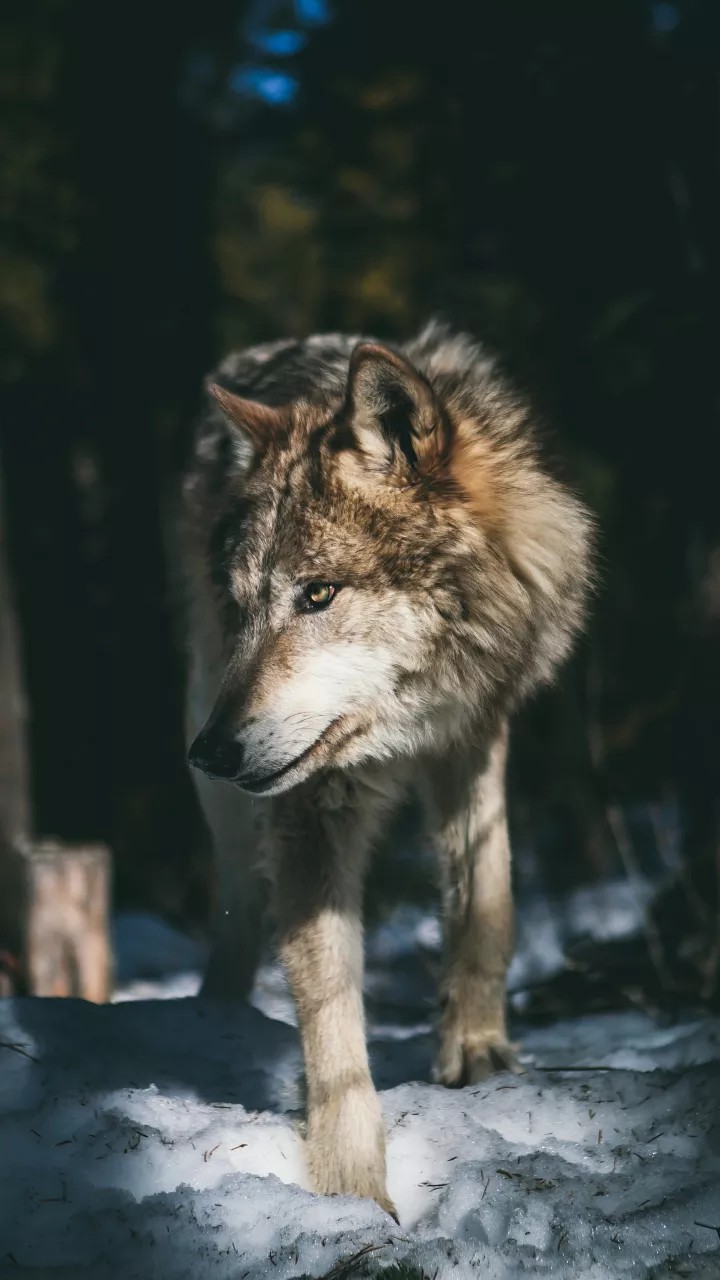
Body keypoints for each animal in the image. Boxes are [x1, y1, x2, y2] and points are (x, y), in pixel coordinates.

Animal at [178, 321, 593, 1218]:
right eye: (245, 607)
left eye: (318, 594)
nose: (211, 751)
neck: (405, 719)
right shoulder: (310, 805)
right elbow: (329, 1008)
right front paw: (351, 1189)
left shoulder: (475, 733)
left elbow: (487, 902)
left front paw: (476, 1050)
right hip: (206, 725)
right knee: (238, 905)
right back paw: (210, 1017)